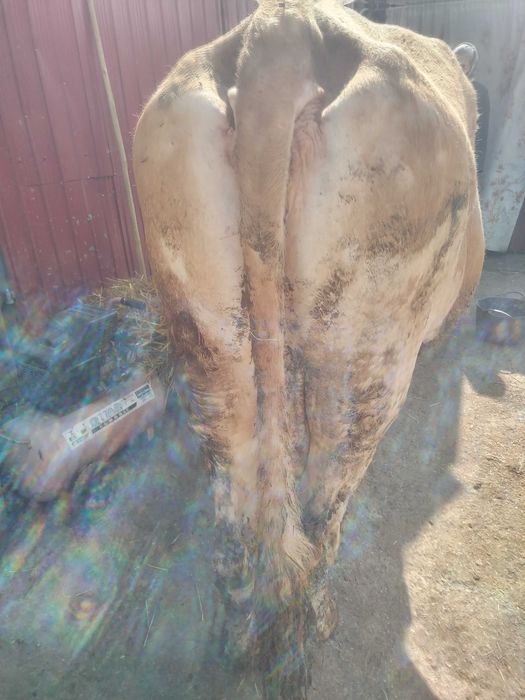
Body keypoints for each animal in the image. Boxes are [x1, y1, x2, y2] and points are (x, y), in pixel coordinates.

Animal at [133, 0, 484, 694]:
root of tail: (284, 26)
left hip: (209, 335)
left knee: (237, 504)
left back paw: (239, 639)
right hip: (365, 357)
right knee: (323, 509)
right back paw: (314, 626)